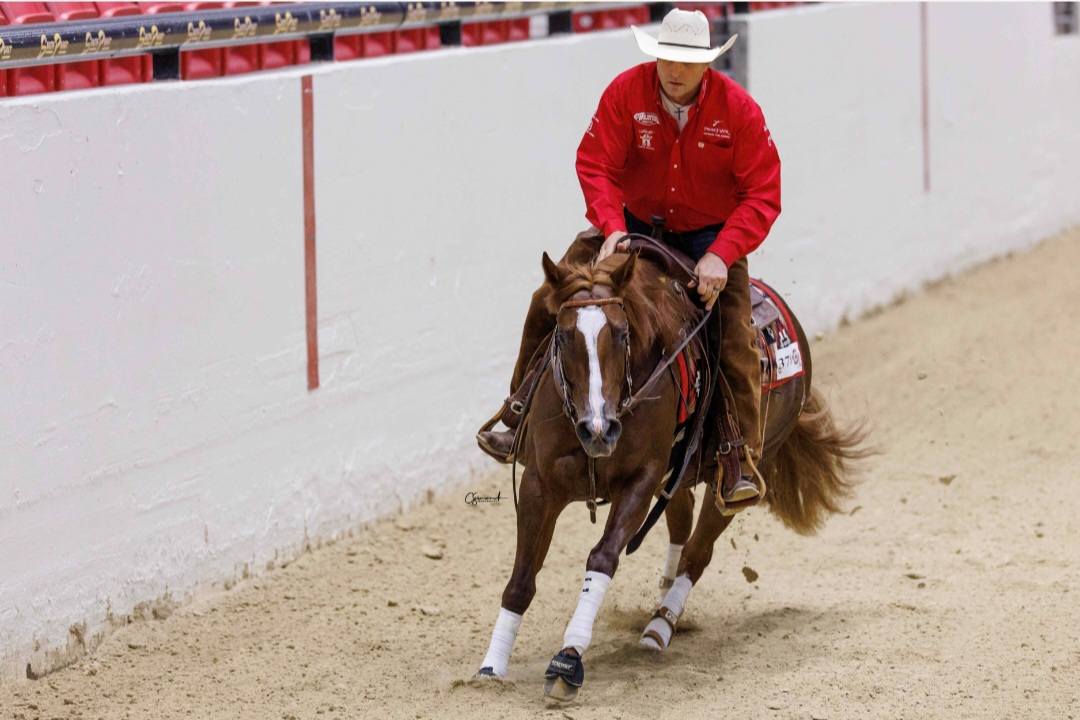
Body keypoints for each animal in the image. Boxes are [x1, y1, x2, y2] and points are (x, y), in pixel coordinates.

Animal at [475, 238, 866, 702]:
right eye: (563, 334)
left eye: (622, 334)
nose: (598, 429)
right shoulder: (540, 484)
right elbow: (522, 577)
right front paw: (491, 668)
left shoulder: (639, 483)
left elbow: (602, 558)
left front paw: (568, 659)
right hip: (677, 475)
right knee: (681, 525)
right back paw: (661, 599)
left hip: (741, 470)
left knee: (699, 550)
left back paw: (661, 624)